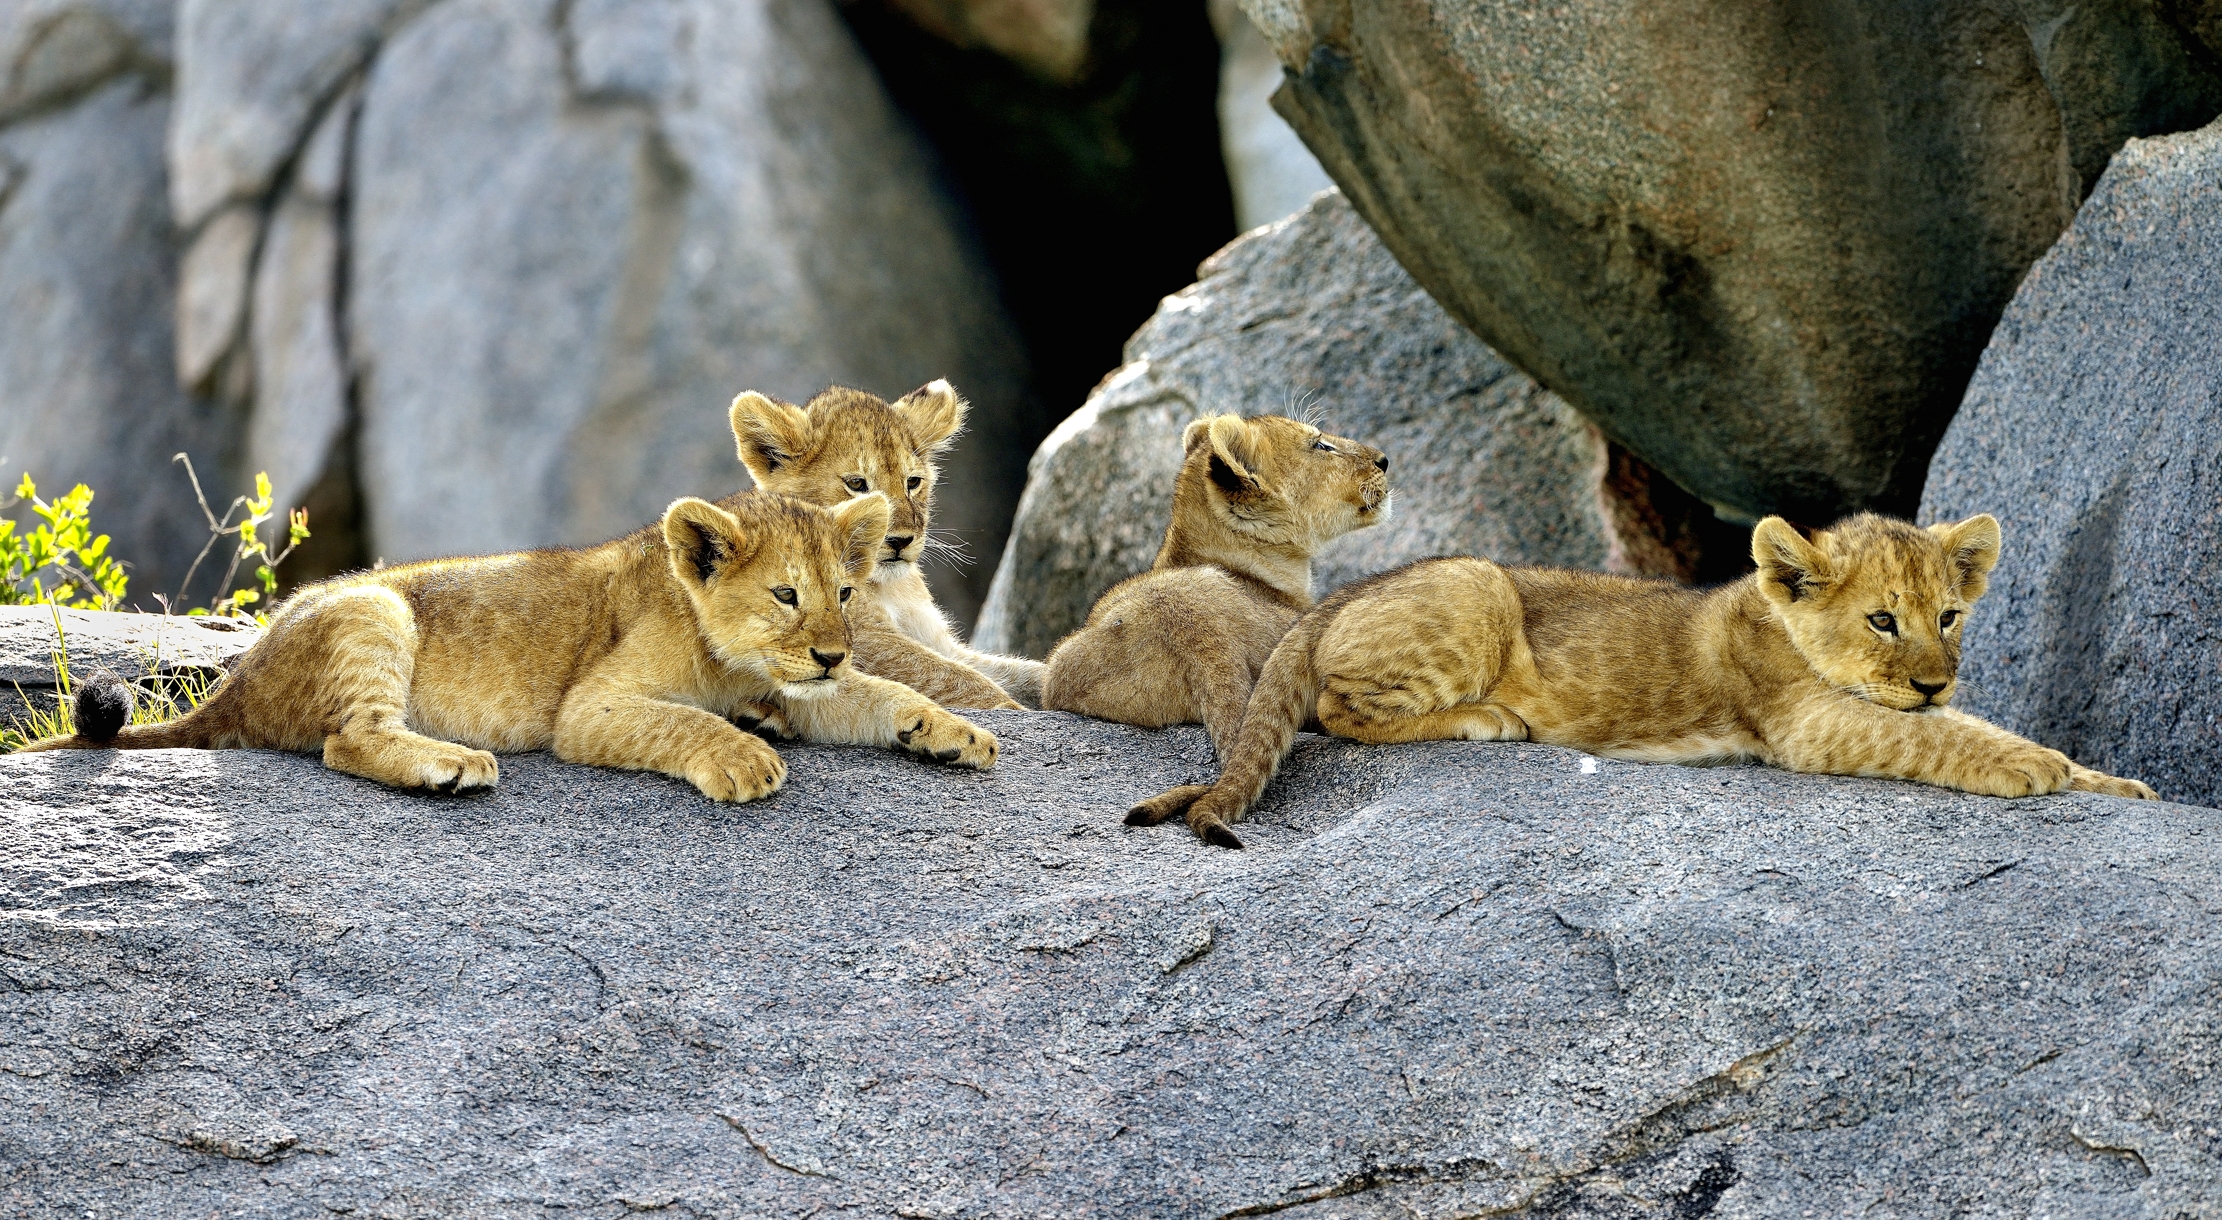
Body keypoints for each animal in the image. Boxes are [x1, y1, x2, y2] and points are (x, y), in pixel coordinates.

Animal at [14, 485, 998, 799]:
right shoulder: (590, 710)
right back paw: (448, 765)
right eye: (786, 595)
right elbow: (684, 721)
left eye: (844, 595)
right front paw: (743, 756)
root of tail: (238, 678)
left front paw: (955, 733)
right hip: (376, 612)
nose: (830, 652)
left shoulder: (809, 683)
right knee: (347, 740)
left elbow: (885, 694)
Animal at [728, 381, 1041, 710]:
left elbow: (1016, 671)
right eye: (856, 484)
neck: (891, 587)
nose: (901, 540)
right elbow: (959, 679)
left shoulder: (937, 640)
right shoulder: (862, 641)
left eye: (913, 482)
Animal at [1129, 511, 2156, 848]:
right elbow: (1934, 736)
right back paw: (1491, 720)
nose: (1938, 679)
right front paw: (2031, 769)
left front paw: (2111, 782)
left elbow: (1975, 726)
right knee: (1338, 712)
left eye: (1947, 618)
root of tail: (1330, 597)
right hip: (1479, 584)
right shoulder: (1804, 724)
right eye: (1881, 620)